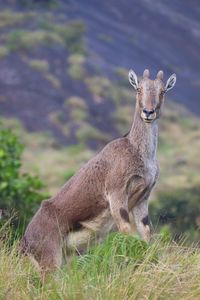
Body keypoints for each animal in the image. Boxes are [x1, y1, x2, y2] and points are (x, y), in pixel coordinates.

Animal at [20, 69, 177, 274]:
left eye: (163, 91)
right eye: (138, 89)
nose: (148, 112)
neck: (137, 151)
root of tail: (25, 243)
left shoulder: (142, 197)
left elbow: (147, 233)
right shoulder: (116, 191)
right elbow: (126, 229)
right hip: (50, 261)